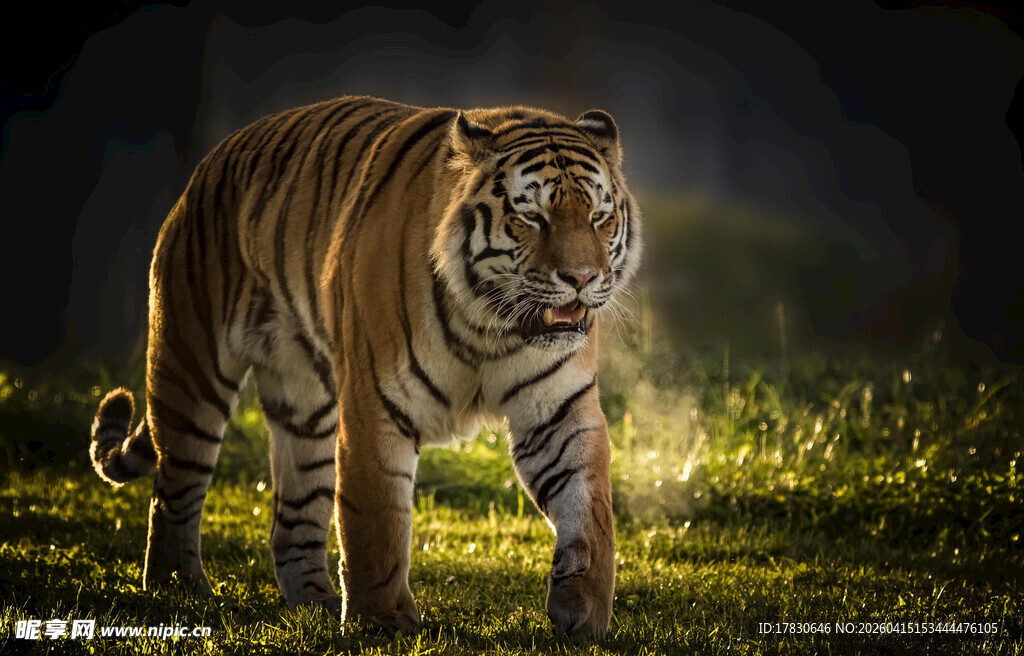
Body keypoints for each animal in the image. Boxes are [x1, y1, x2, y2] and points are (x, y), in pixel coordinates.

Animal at [88, 95, 641, 637]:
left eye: (598, 217)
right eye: (532, 218)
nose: (581, 277)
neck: (492, 326)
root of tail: (210, 162)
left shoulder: (559, 410)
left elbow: (589, 510)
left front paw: (583, 613)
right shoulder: (376, 404)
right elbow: (375, 519)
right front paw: (382, 620)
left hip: (305, 410)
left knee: (292, 520)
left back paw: (315, 603)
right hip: (192, 368)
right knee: (175, 490)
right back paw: (178, 587)